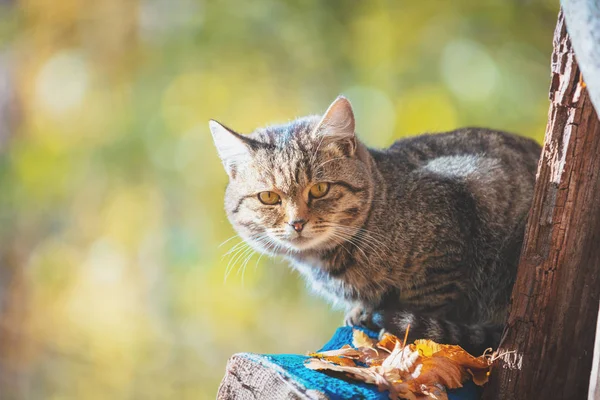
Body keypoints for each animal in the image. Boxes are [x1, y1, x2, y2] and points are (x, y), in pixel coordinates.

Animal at [209, 96, 540, 354]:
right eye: (269, 197)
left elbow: (428, 302)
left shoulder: (448, 243)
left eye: (319, 189)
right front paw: (361, 312)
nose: (297, 223)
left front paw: (398, 335)